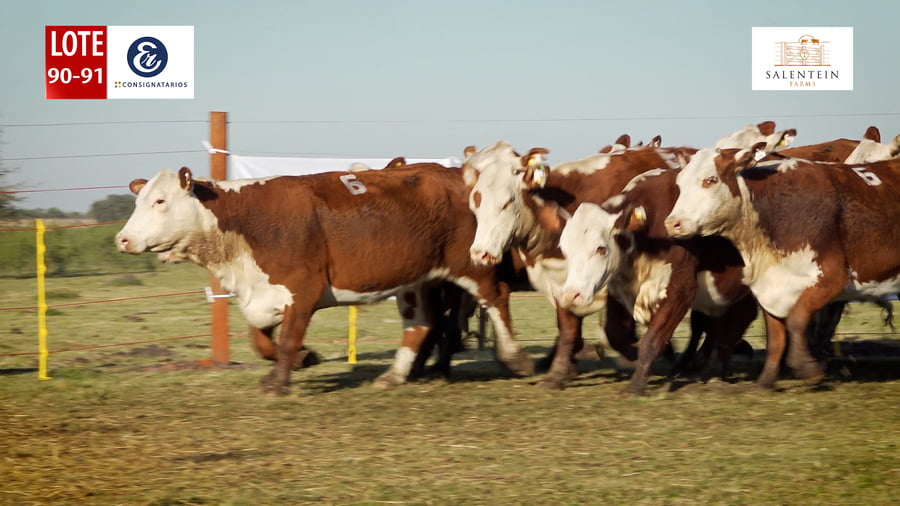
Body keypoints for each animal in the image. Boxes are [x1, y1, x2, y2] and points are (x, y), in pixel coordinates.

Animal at [116, 165, 534, 395]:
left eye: (160, 201)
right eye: (139, 201)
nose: (122, 239)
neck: (246, 220)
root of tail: (459, 176)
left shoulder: (303, 289)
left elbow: (286, 339)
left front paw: (279, 383)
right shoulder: (264, 294)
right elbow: (260, 340)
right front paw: (305, 358)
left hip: (472, 264)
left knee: (496, 298)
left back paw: (516, 360)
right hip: (416, 281)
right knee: (421, 325)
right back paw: (395, 376)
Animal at [557, 168, 757, 395]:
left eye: (601, 249)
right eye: (564, 249)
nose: (571, 295)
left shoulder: (681, 289)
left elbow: (652, 339)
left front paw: (635, 386)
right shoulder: (619, 286)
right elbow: (615, 333)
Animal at [664, 146, 900, 389]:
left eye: (710, 180)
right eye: (680, 183)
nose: (672, 223)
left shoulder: (831, 279)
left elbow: (796, 320)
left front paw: (806, 366)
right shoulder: (769, 285)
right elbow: (776, 338)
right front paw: (765, 382)